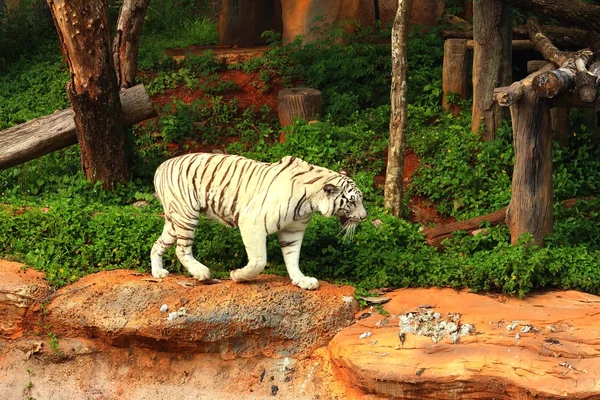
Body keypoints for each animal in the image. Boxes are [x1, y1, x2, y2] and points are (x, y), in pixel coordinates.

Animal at [150, 152, 366, 290]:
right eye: (352, 202)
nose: (364, 217)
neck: (310, 202)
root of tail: (161, 166)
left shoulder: (293, 231)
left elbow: (292, 258)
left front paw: (302, 280)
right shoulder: (252, 223)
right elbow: (259, 262)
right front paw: (237, 275)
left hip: (174, 220)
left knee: (157, 245)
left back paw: (158, 272)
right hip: (187, 215)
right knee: (181, 249)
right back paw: (202, 273)